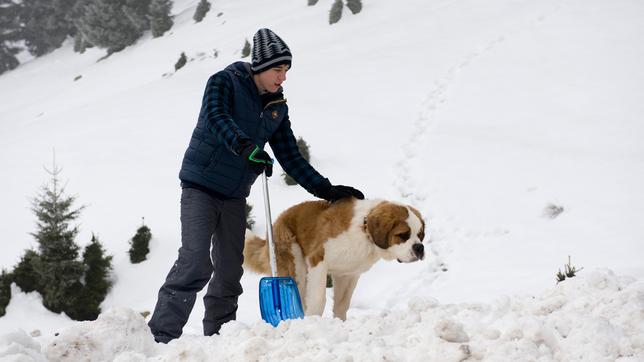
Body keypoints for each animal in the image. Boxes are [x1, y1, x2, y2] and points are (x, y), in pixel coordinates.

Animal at [244, 198, 426, 320]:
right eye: (403, 235)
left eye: (420, 235)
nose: (419, 248)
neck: (364, 230)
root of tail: (275, 224)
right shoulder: (318, 260)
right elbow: (318, 300)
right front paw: (314, 322)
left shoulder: (348, 274)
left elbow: (342, 303)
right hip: (295, 263)